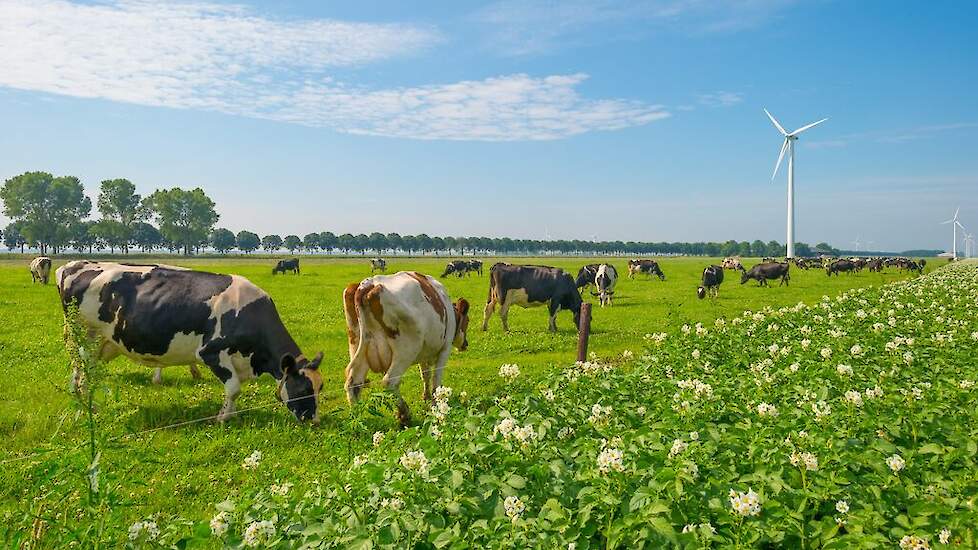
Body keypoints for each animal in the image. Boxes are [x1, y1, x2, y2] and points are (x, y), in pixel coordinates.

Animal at [56, 260, 324, 424]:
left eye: (320, 387)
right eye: (303, 389)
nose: (314, 420)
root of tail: (74, 265)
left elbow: (235, 391)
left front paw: (231, 414)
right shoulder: (211, 353)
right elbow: (234, 388)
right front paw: (223, 418)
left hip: (99, 342)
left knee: (80, 371)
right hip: (85, 335)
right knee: (83, 372)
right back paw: (90, 408)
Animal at [340, 272, 468, 426]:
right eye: (467, 322)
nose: (465, 344)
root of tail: (367, 285)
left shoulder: (424, 354)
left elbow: (425, 375)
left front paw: (426, 397)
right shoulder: (445, 347)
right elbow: (436, 379)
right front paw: (436, 403)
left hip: (358, 345)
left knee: (353, 383)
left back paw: (358, 419)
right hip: (407, 349)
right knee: (389, 382)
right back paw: (404, 415)